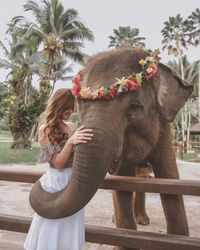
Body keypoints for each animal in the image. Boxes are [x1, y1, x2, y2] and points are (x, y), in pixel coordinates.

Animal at [29, 47, 192, 250]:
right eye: (81, 105)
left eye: (134, 108)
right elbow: (122, 184)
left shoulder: (164, 129)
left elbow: (170, 179)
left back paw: (143, 221)